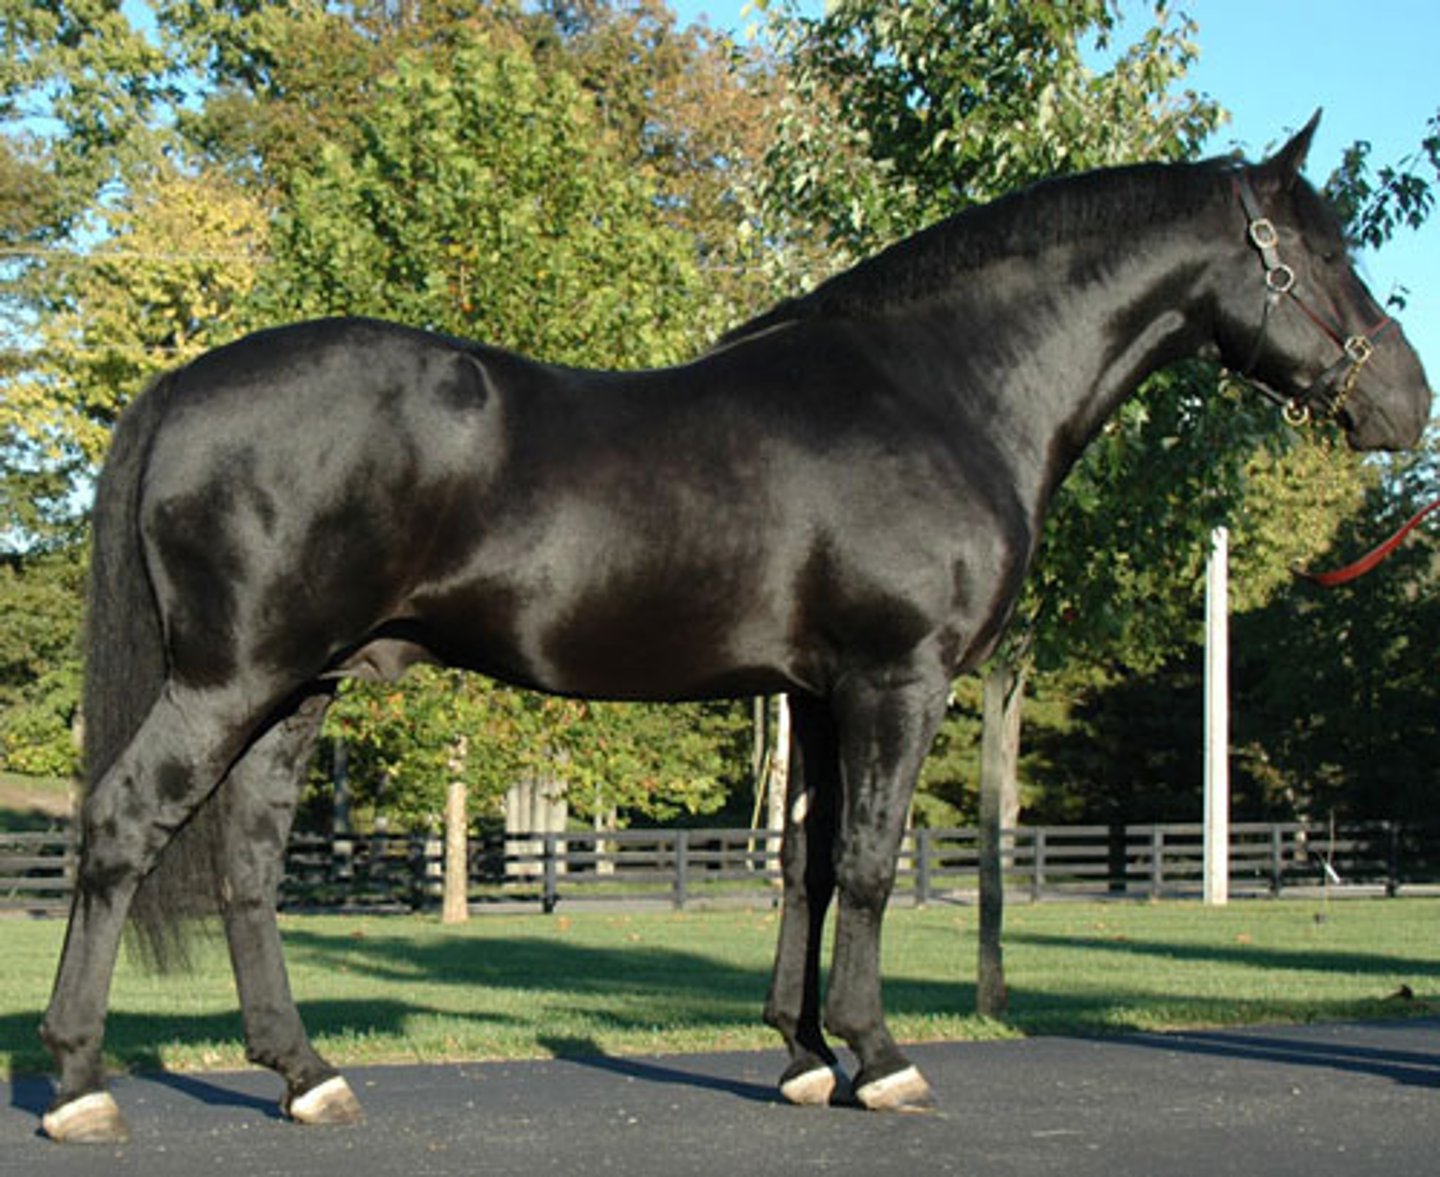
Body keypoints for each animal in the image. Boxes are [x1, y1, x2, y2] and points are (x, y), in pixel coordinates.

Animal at [40, 113, 1431, 1143]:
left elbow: (804, 865)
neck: (939, 390)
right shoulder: (898, 678)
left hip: (300, 686)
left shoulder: (815, 692)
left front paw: (804, 1054)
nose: (1406, 402)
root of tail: (185, 386)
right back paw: (79, 1081)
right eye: (1314, 255)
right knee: (121, 826)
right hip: (233, 678)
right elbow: (868, 864)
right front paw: (880, 1056)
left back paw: (304, 1073)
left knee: (246, 862)